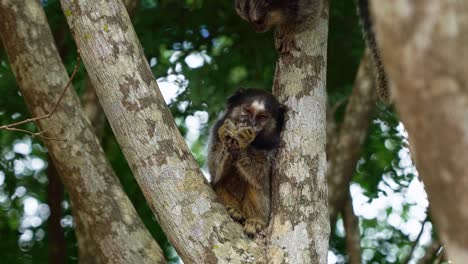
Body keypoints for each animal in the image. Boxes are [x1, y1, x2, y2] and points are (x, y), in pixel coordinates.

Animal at [208, 88, 286, 237]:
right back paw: (235, 212)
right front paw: (227, 136)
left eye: (262, 117)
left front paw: (243, 141)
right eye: (247, 111)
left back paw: (256, 220)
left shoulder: (275, 144)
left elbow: (263, 177)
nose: (251, 123)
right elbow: (215, 173)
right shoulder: (216, 129)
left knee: (256, 184)